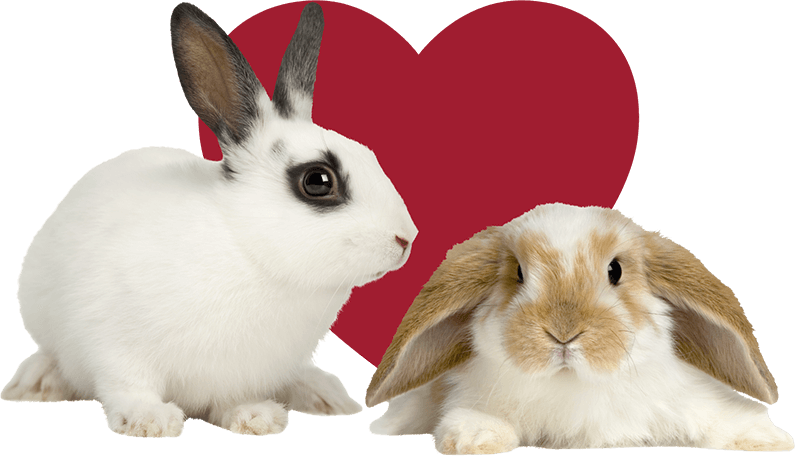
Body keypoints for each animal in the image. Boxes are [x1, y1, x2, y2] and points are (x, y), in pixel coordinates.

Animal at [1, 2, 417, 438]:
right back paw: (34, 383)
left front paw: (255, 417)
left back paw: (324, 394)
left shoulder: (242, 373)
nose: (405, 238)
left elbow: (232, 400)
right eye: (317, 181)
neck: (248, 251)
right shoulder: (113, 346)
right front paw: (151, 421)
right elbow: (128, 385)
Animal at [365, 203, 792, 453]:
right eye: (518, 273)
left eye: (615, 270)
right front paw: (474, 436)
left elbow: (719, 417)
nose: (564, 332)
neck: (574, 383)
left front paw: (768, 438)